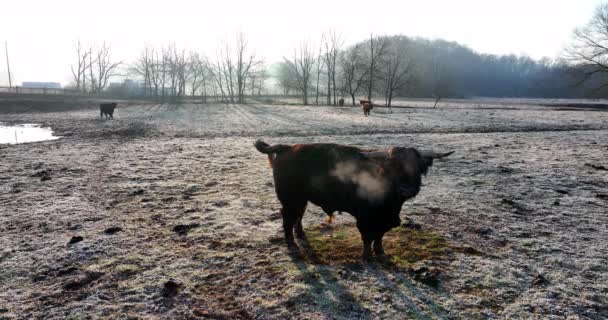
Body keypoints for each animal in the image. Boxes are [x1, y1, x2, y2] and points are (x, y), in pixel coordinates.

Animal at [254, 140, 454, 260]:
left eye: (417, 167)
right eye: (392, 167)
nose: (407, 189)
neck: (392, 205)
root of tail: (287, 147)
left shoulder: (386, 220)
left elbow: (379, 236)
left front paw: (381, 253)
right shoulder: (364, 216)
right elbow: (367, 236)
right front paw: (367, 256)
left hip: (301, 199)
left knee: (298, 216)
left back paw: (301, 234)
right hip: (289, 199)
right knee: (287, 218)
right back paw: (292, 244)